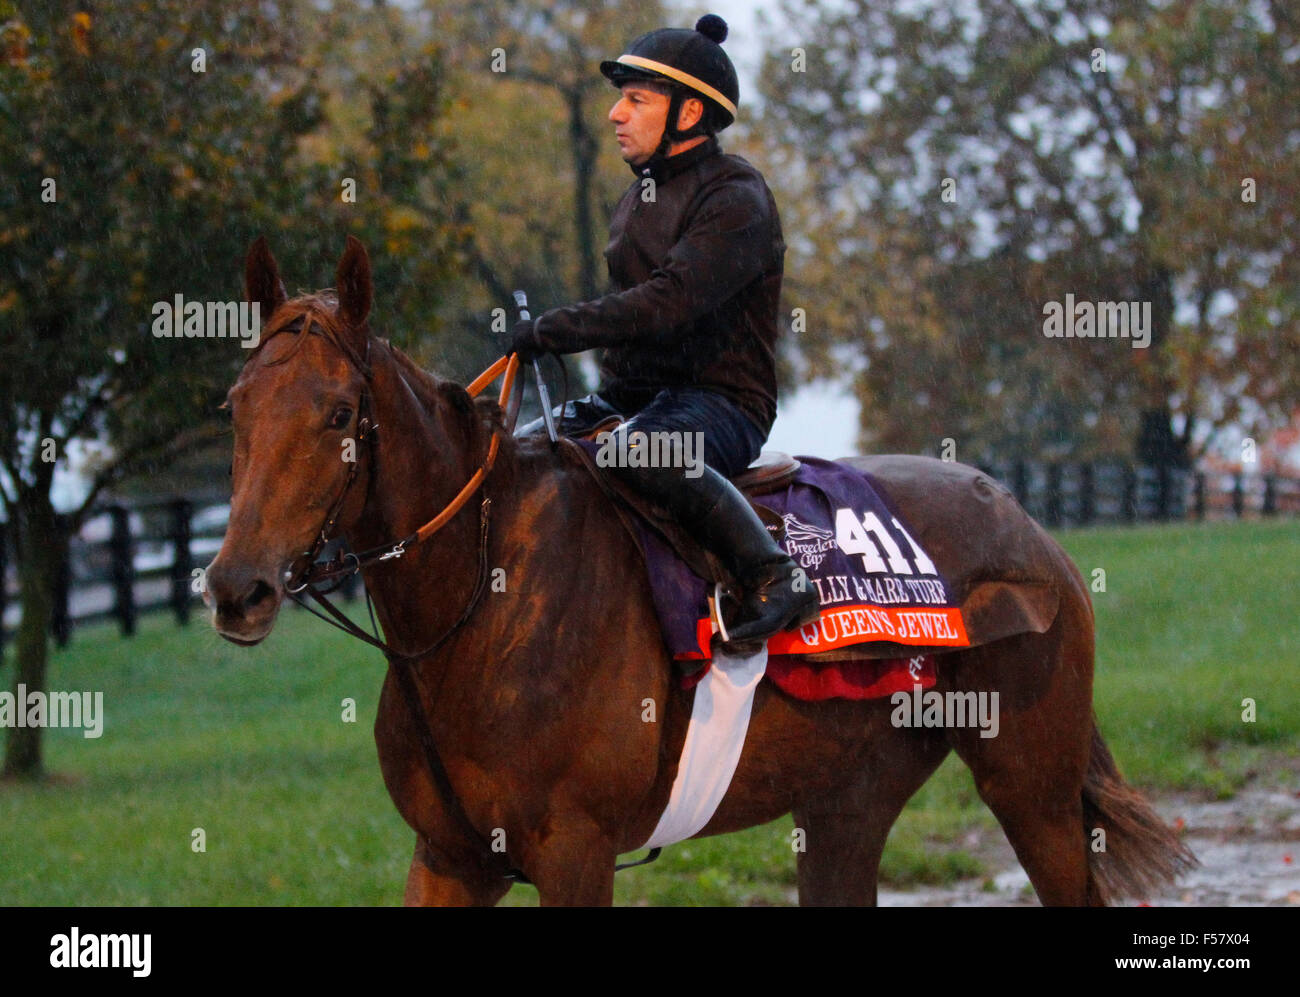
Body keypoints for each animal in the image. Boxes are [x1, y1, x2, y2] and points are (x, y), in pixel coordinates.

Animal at [205, 237, 1196, 909]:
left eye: (339, 412)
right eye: (236, 404)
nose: (234, 587)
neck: (482, 598)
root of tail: (1029, 526)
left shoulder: (575, 851)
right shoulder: (448, 856)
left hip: (1032, 787)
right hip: (846, 806)